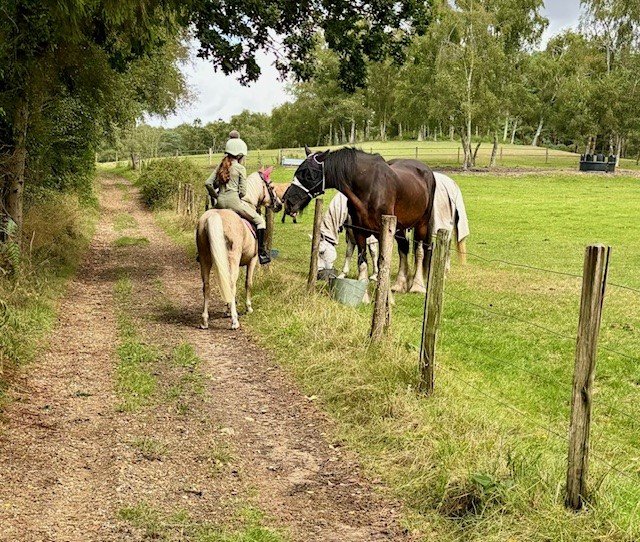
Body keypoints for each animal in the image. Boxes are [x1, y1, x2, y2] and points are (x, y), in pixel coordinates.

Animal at [196, 167, 282, 330]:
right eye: (272, 187)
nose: (279, 205)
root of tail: (215, 217)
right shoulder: (252, 260)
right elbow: (248, 283)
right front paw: (247, 308)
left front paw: (227, 308)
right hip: (232, 259)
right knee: (231, 283)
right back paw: (235, 321)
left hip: (205, 259)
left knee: (207, 285)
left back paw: (204, 321)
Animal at [283, 147, 437, 293]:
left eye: (309, 174)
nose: (288, 202)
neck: (370, 187)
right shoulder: (358, 231)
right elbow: (361, 260)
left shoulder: (380, 234)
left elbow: (380, 260)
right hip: (400, 226)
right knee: (403, 248)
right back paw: (399, 284)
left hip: (422, 224)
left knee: (419, 252)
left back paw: (417, 286)